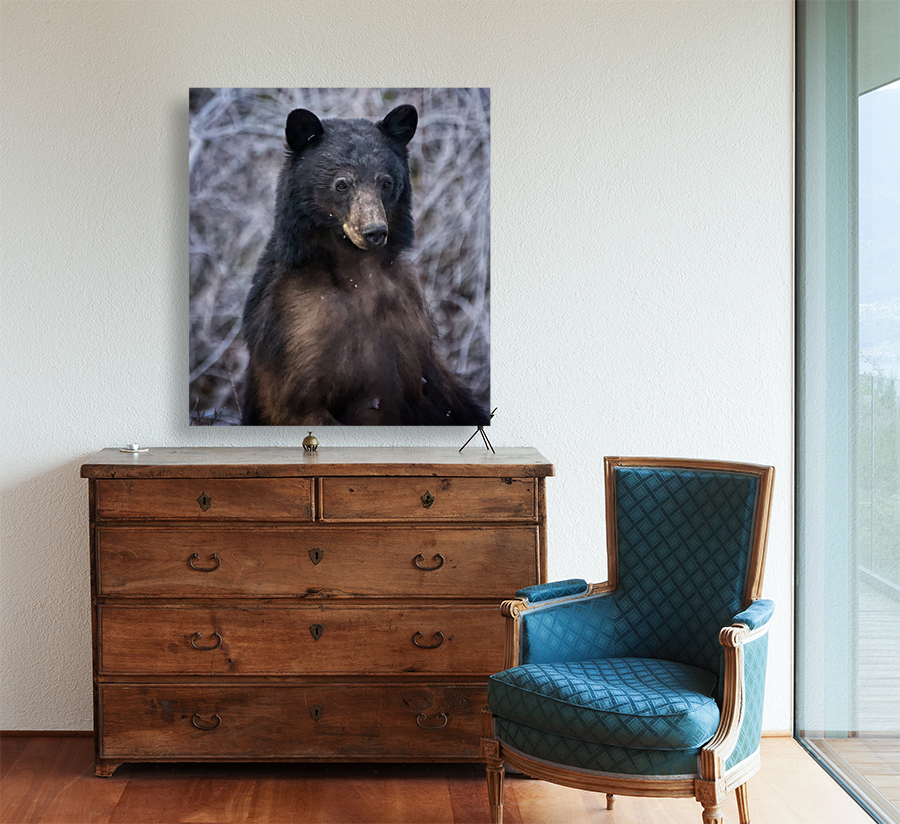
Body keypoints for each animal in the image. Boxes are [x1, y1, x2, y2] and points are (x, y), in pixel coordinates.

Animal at [240, 104, 489, 426]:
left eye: (386, 182)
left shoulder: (408, 325)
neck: (356, 273)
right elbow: (298, 403)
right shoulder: (296, 329)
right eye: (342, 184)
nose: (374, 231)